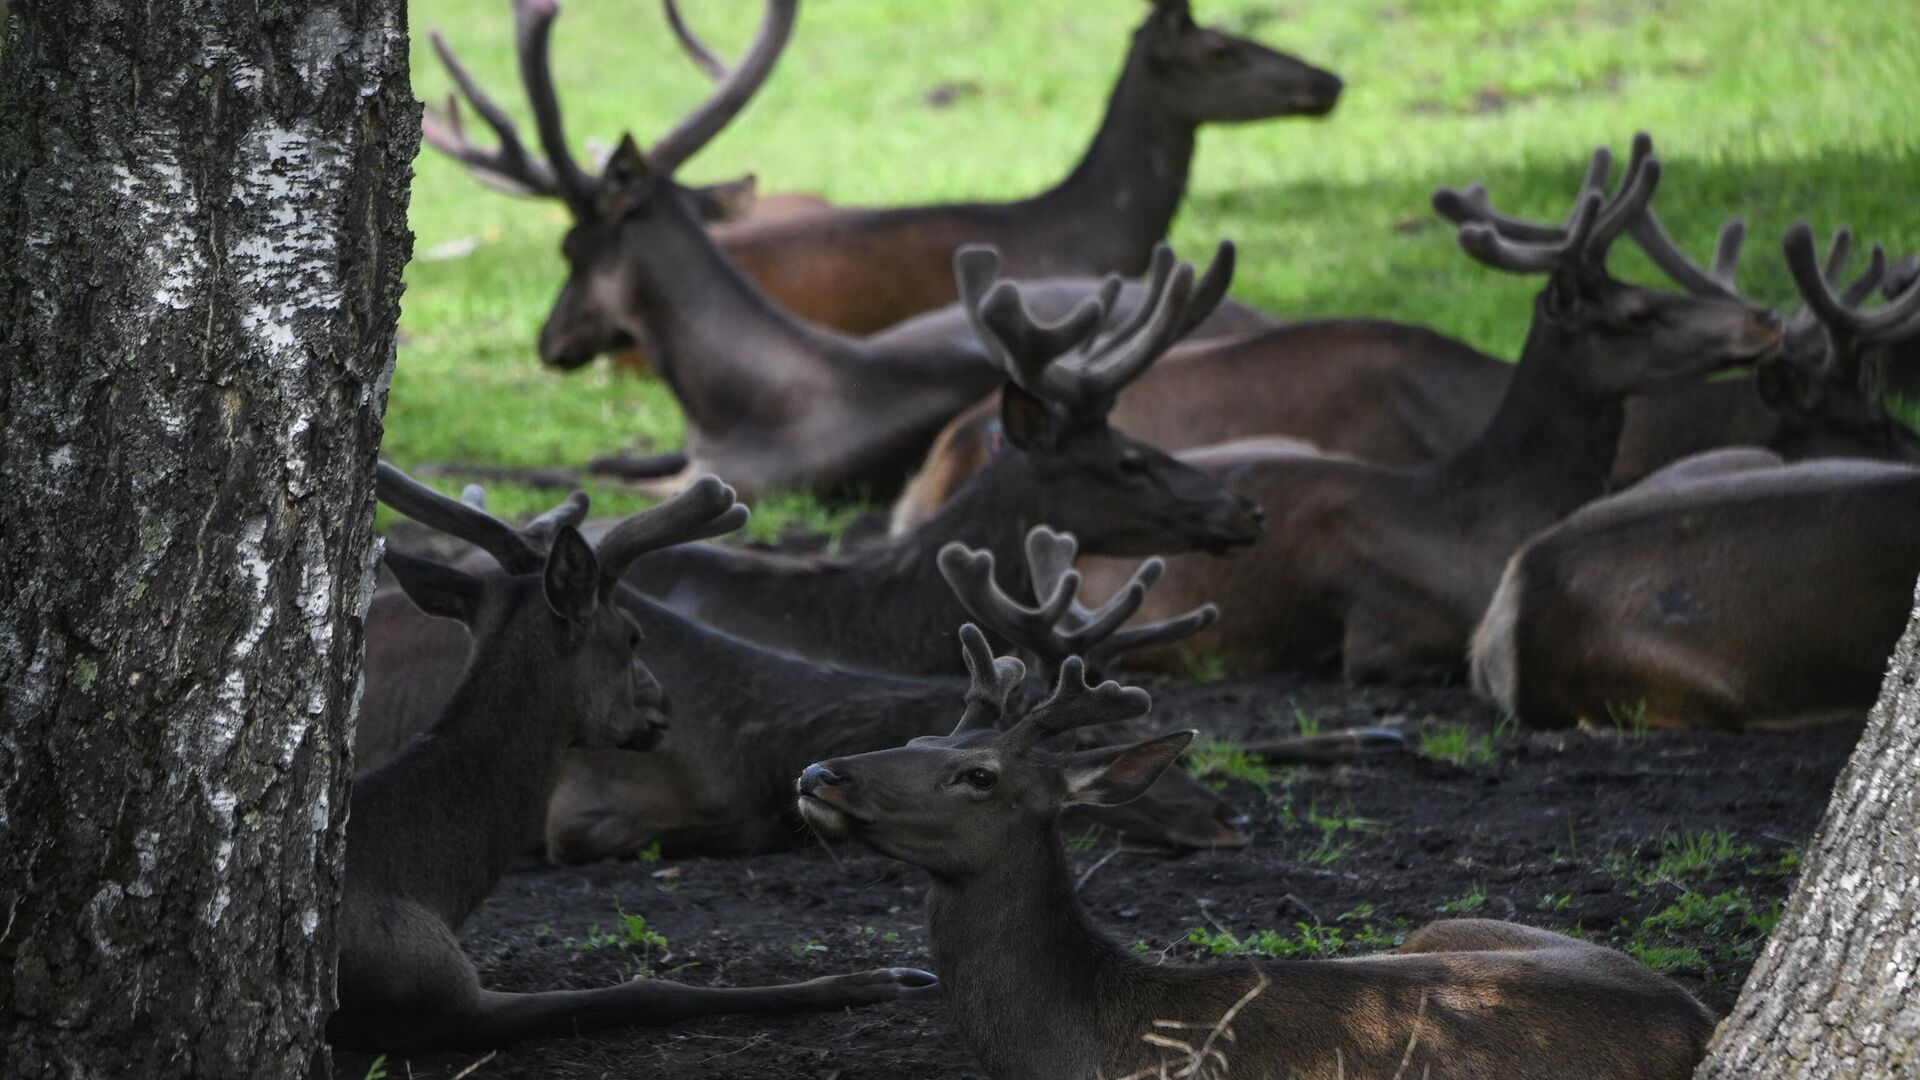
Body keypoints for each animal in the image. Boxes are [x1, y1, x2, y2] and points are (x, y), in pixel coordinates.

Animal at [330, 463, 944, 1053]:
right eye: (631, 635)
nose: (663, 703)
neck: (428, 888)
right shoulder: (435, 994)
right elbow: (650, 990)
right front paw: (889, 979)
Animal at [426, 0, 1282, 495]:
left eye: (572, 248)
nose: (549, 341)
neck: (725, 406)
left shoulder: (748, 481)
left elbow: (590, 479)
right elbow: (594, 459)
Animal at [794, 630, 1712, 1076]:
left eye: (977, 774)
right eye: (918, 738)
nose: (818, 773)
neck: (1072, 1046)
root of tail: (1701, 1017)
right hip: (1444, 924)